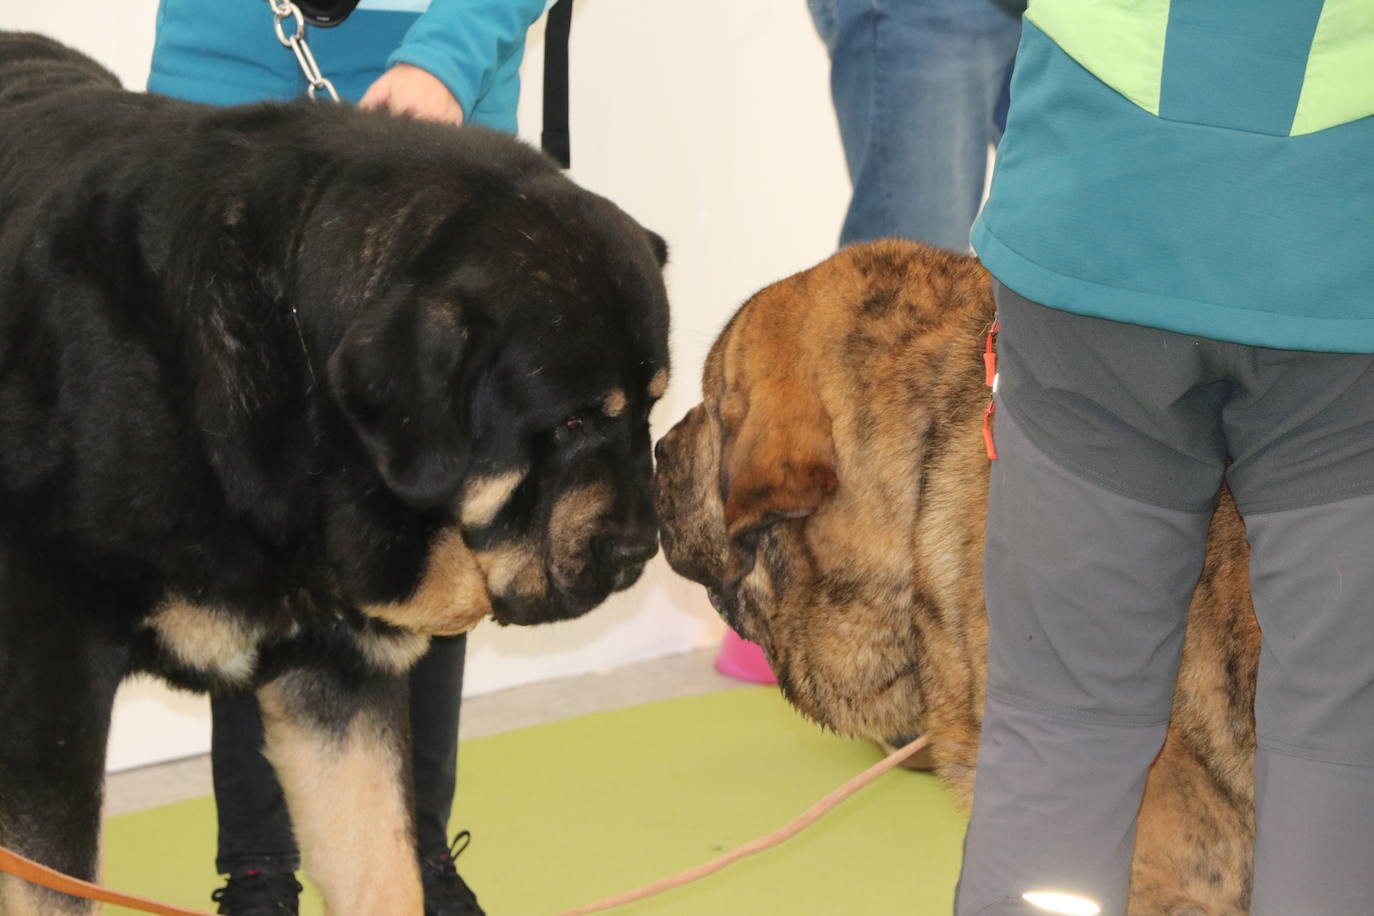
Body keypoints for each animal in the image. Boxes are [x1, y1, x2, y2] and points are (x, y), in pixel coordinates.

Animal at [0, 32, 667, 911]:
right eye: (572, 422)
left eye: (653, 407)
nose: (638, 551)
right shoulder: (50, 676)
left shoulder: (338, 672)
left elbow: (382, 868)